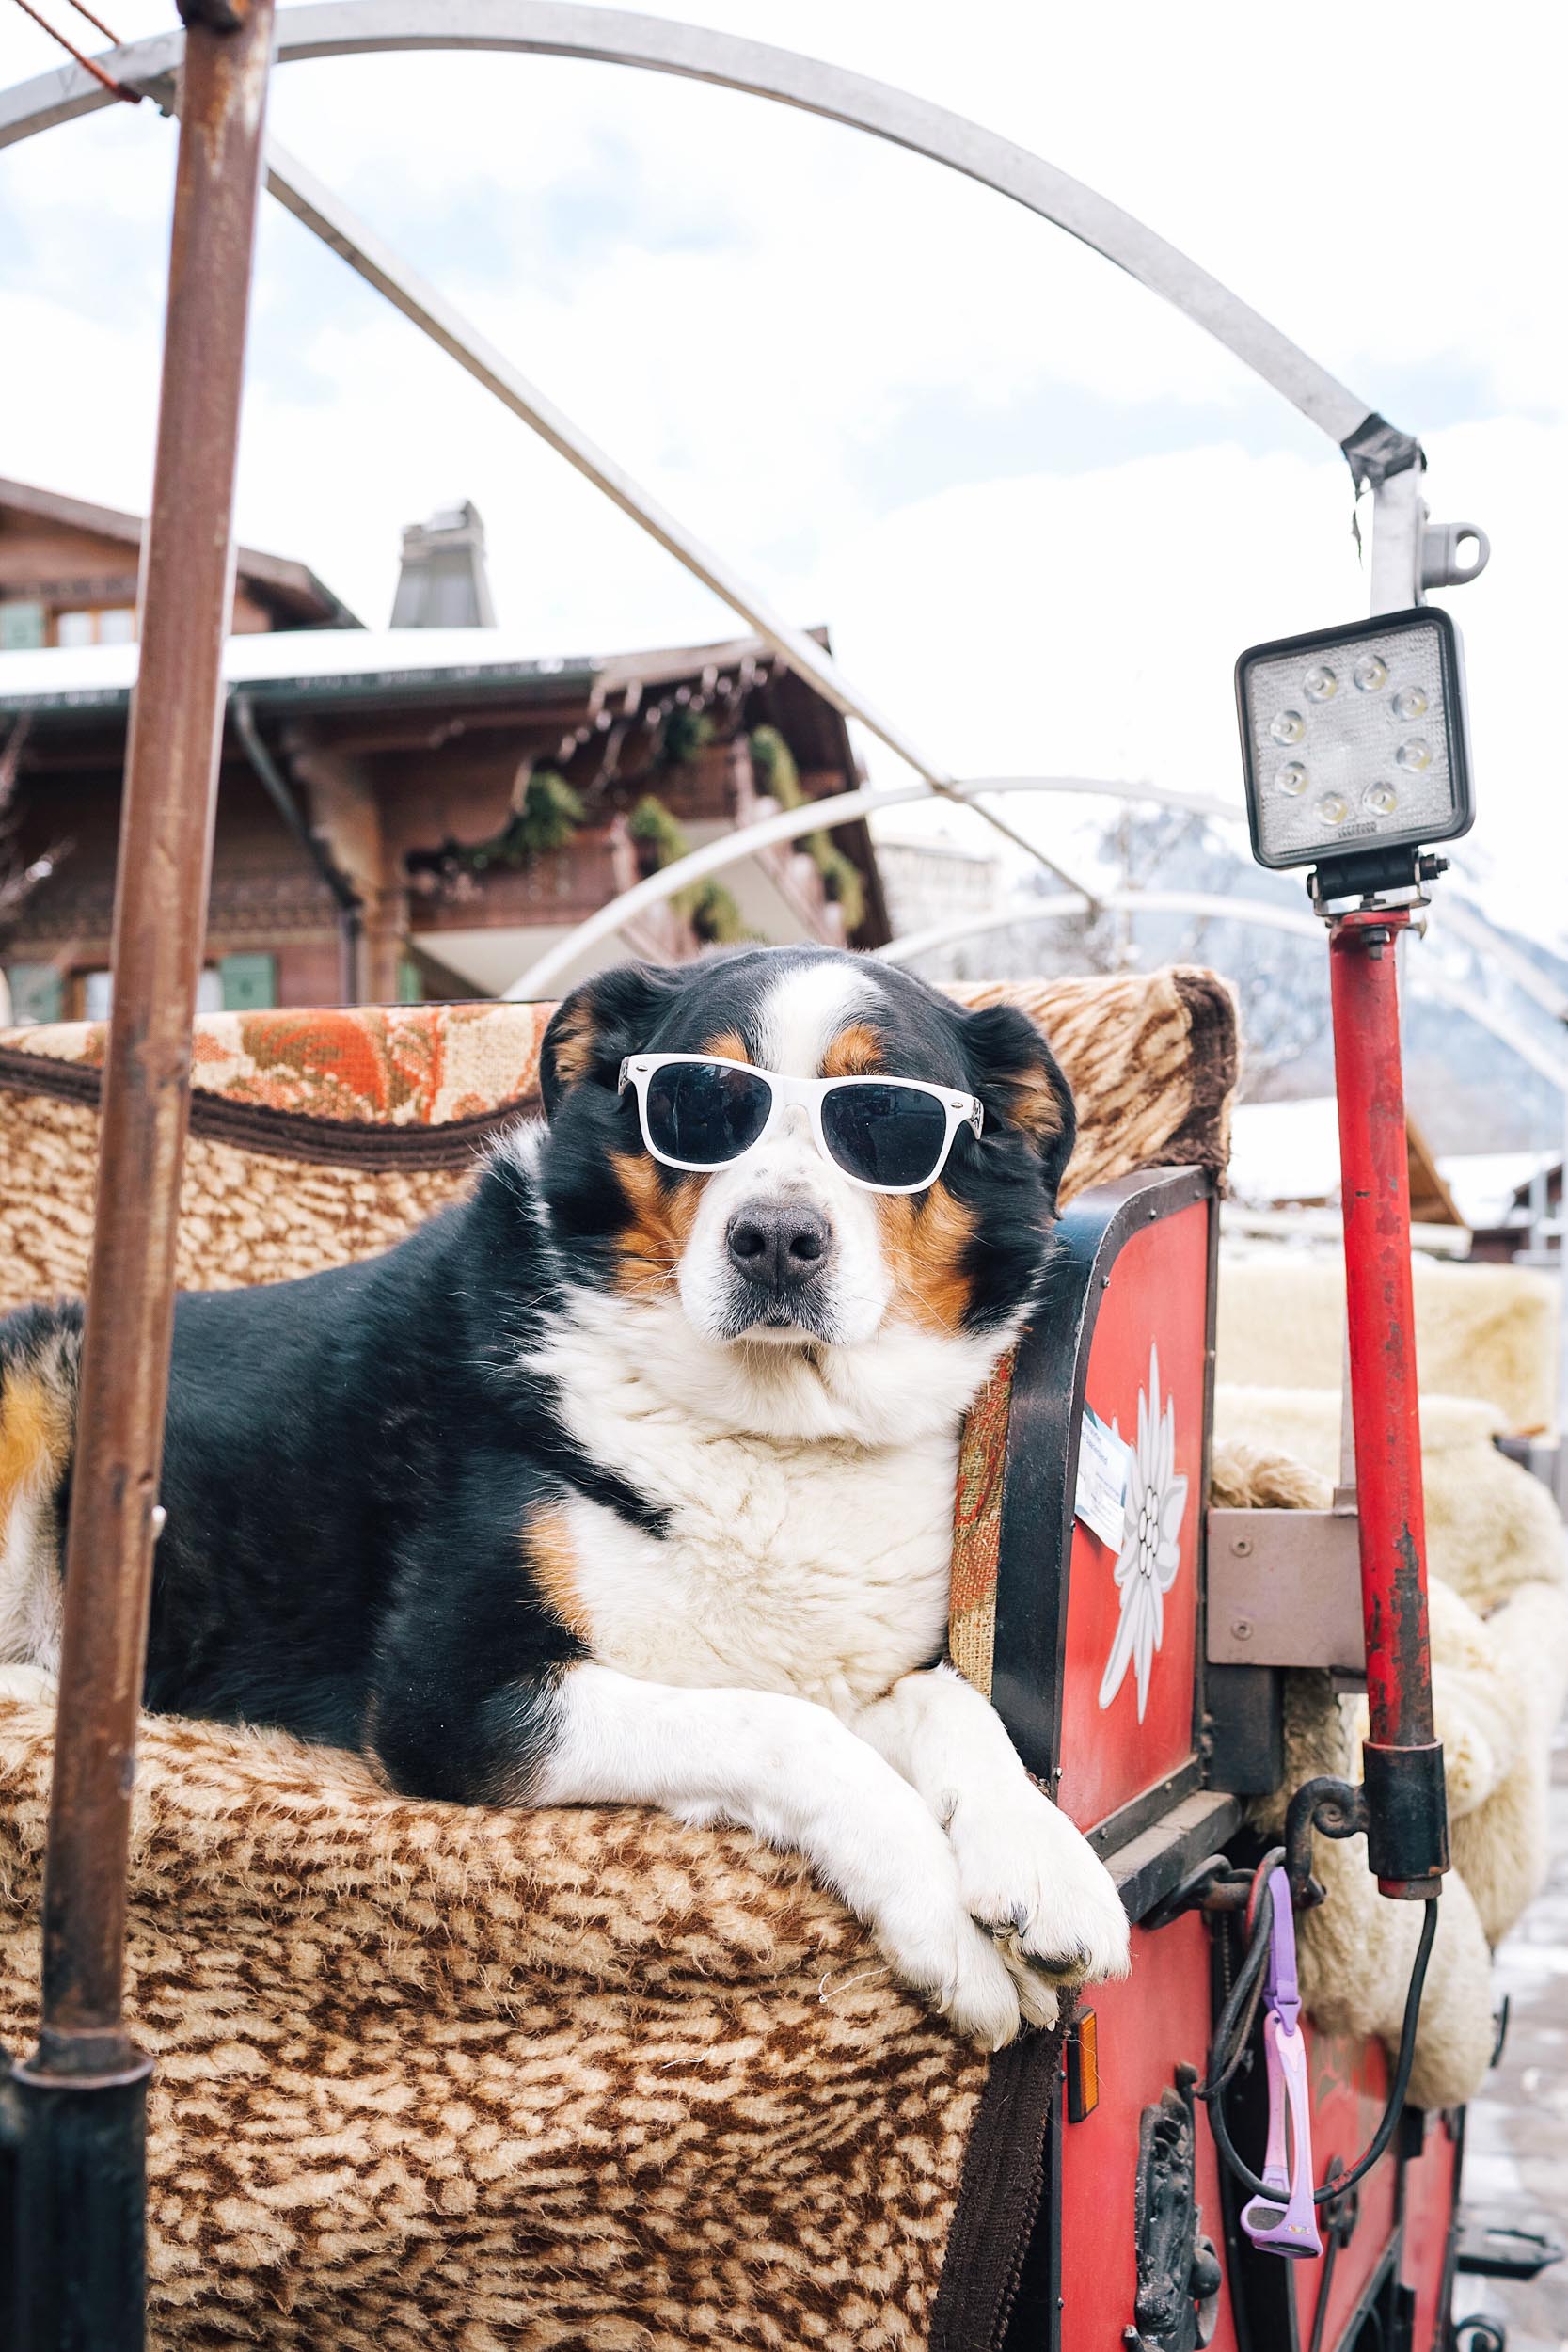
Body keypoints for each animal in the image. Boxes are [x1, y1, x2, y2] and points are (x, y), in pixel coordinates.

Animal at [0, 946, 1128, 2051]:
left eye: (885, 1119)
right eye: (699, 1103)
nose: (775, 1237)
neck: (767, 1428)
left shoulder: (851, 1669)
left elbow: (950, 1704)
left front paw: (1041, 1860)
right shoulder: (450, 1700)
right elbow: (783, 1730)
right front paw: (944, 1922)